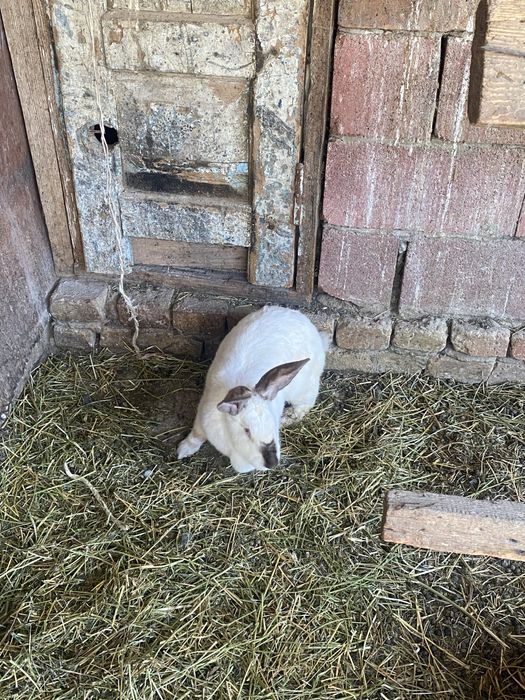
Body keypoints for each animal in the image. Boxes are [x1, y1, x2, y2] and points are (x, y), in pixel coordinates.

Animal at [177, 305, 328, 473]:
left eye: (271, 421)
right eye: (246, 430)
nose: (272, 463)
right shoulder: (202, 417)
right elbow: (196, 434)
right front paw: (183, 450)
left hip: (303, 389)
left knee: (304, 406)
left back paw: (286, 418)